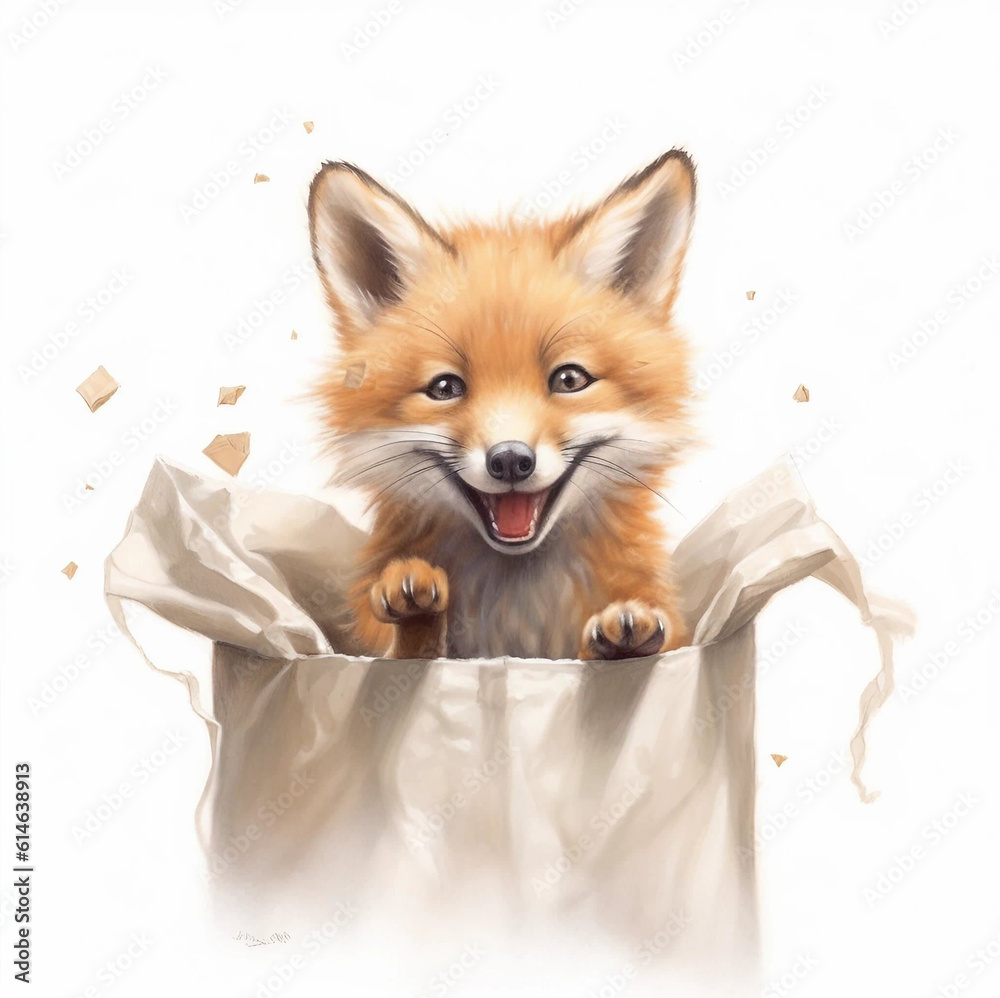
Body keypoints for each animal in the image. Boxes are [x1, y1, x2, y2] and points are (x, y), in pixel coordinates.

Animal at [307, 149, 697, 661]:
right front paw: (416, 616)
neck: (517, 615)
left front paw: (623, 642)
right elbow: (407, 652)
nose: (510, 460)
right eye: (445, 388)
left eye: (570, 379)